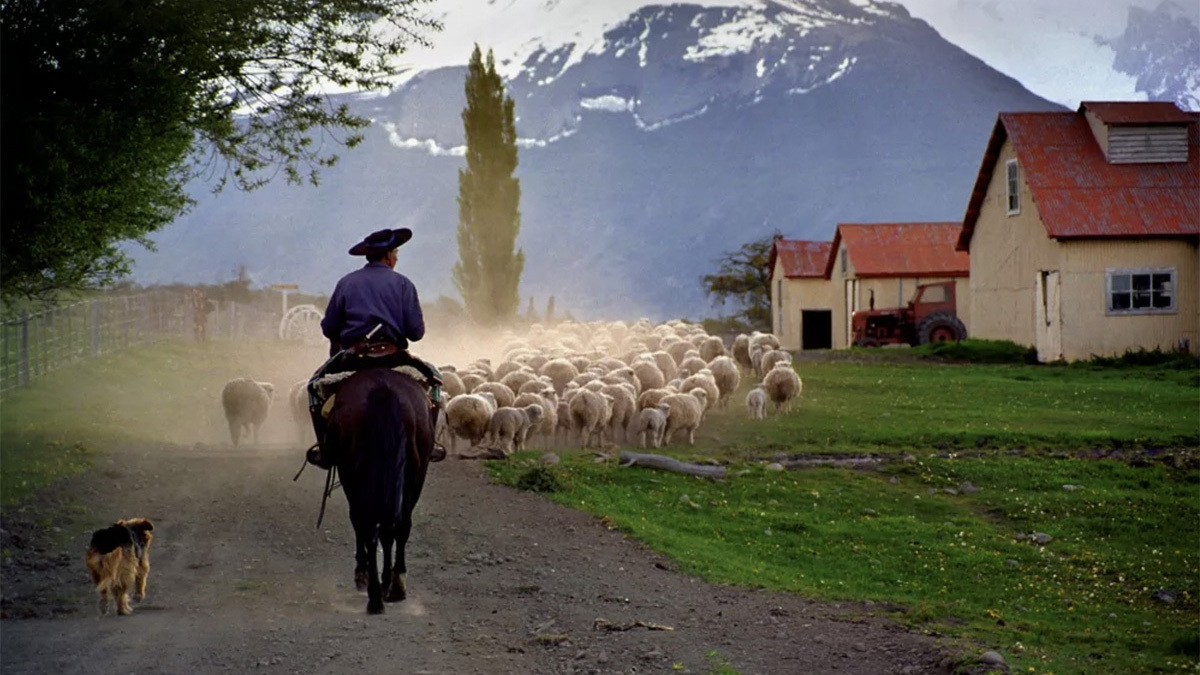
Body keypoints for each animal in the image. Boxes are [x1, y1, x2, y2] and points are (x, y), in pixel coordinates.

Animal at [324, 365, 432, 612]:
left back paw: (377, 592)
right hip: (413, 474)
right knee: (395, 526)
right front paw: (387, 580)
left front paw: (364, 573)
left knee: (370, 526)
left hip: (355, 474)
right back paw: (391, 587)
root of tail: (383, 389)